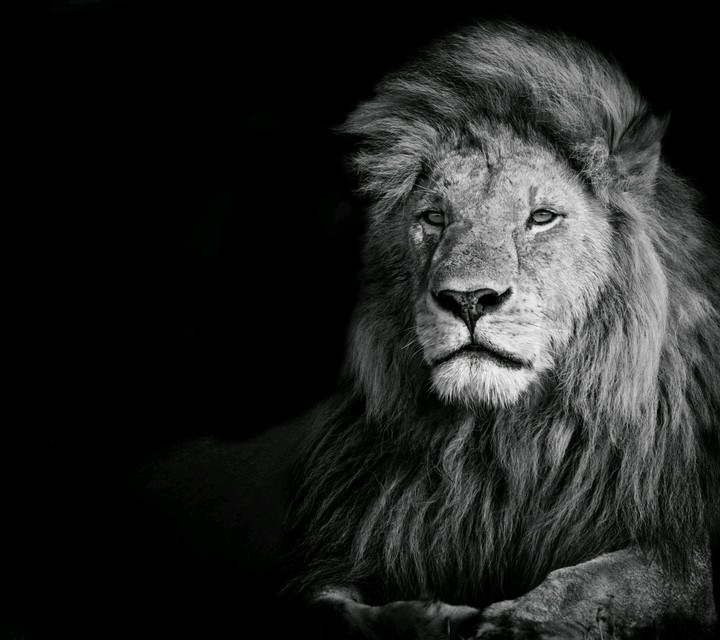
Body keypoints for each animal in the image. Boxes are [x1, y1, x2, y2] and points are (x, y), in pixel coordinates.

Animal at [276, 20, 720, 639]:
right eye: (434, 217)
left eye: (541, 218)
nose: (468, 299)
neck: (502, 445)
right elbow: (330, 609)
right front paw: (428, 618)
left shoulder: (683, 550)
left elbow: (607, 580)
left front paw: (516, 621)